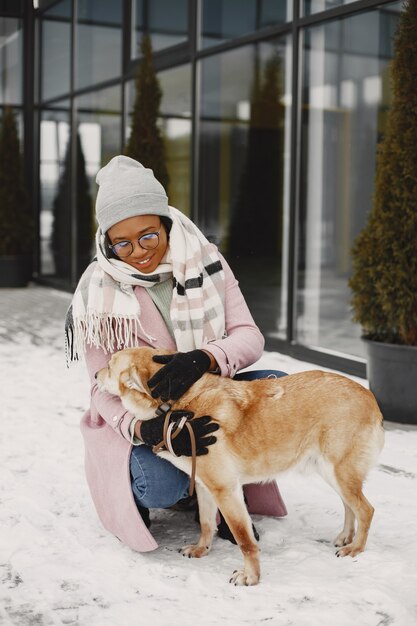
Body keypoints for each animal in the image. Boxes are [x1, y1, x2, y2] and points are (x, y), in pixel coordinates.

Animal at [96, 346, 384, 584]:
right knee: (350, 506)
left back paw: (355, 548)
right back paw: (345, 536)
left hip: (339, 472)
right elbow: (206, 523)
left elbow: (244, 540)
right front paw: (201, 549)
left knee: (365, 510)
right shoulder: (205, 486)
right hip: (333, 472)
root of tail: (370, 397)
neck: (176, 405)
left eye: (109, 364)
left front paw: (251, 577)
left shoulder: (226, 490)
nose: (96, 375)